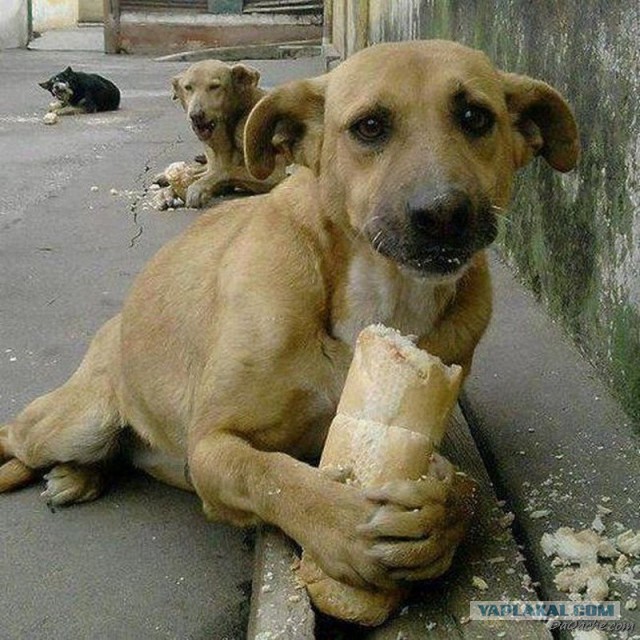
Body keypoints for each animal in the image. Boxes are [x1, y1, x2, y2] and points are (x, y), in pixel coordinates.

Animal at [154, 61, 286, 209]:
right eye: (188, 87)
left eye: (215, 86)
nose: (195, 115)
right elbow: (203, 174)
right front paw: (168, 191)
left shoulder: (275, 175)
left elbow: (225, 170)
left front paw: (197, 187)